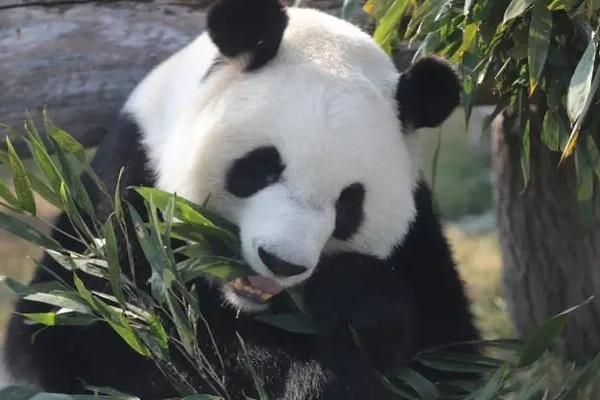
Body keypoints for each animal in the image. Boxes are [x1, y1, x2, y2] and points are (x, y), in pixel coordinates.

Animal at [1, 1, 478, 398]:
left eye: (349, 204)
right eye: (263, 167)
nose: (281, 262)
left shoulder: (419, 239)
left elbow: (446, 355)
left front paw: (351, 298)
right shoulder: (123, 197)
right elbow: (93, 338)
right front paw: (315, 377)